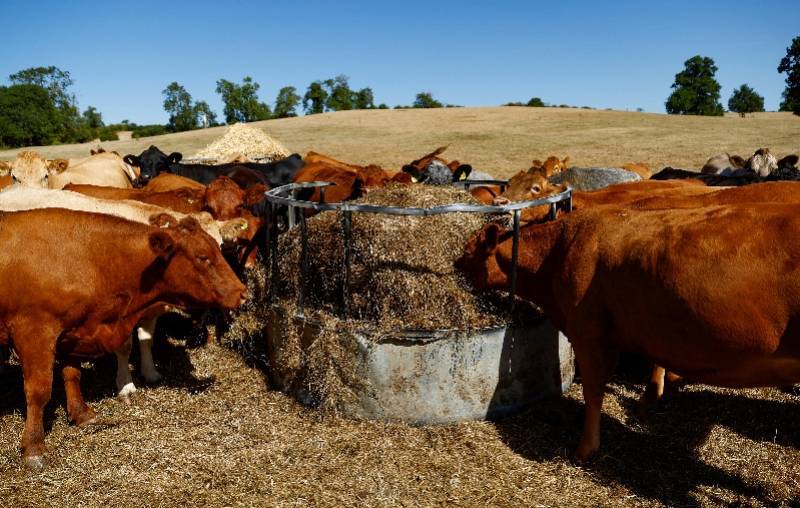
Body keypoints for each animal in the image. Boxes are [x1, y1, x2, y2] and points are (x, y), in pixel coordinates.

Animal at [0, 209, 247, 468]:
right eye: (203, 257)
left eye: (219, 248)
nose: (242, 293)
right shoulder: (34, 332)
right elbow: (39, 392)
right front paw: (34, 447)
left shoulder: (73, 332)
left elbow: (72, 374)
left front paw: (82, 414)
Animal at [460, 202, 800, 460]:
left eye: (467, 252)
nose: (453, 268)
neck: (558, 252)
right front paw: (651, 395)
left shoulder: (589, 332)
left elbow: (593, 390)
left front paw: (585, 449)